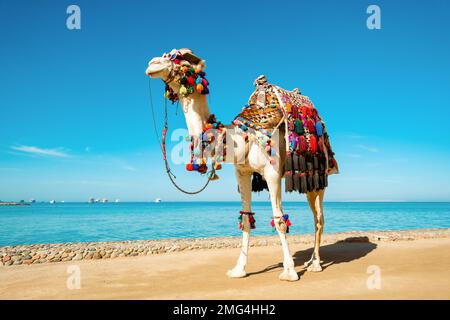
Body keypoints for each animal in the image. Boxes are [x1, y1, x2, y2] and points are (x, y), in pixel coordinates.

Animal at [145, 47, 338, 280]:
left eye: (181, 62)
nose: (152, 64)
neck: (240, 137)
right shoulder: (243, 173)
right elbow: (245, 219)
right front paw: (239, 270)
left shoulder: (272, 172)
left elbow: (279, 220)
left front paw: (290, 272)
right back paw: (309, 261)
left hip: (317, 176)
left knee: (319, 217)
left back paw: (315, 264)